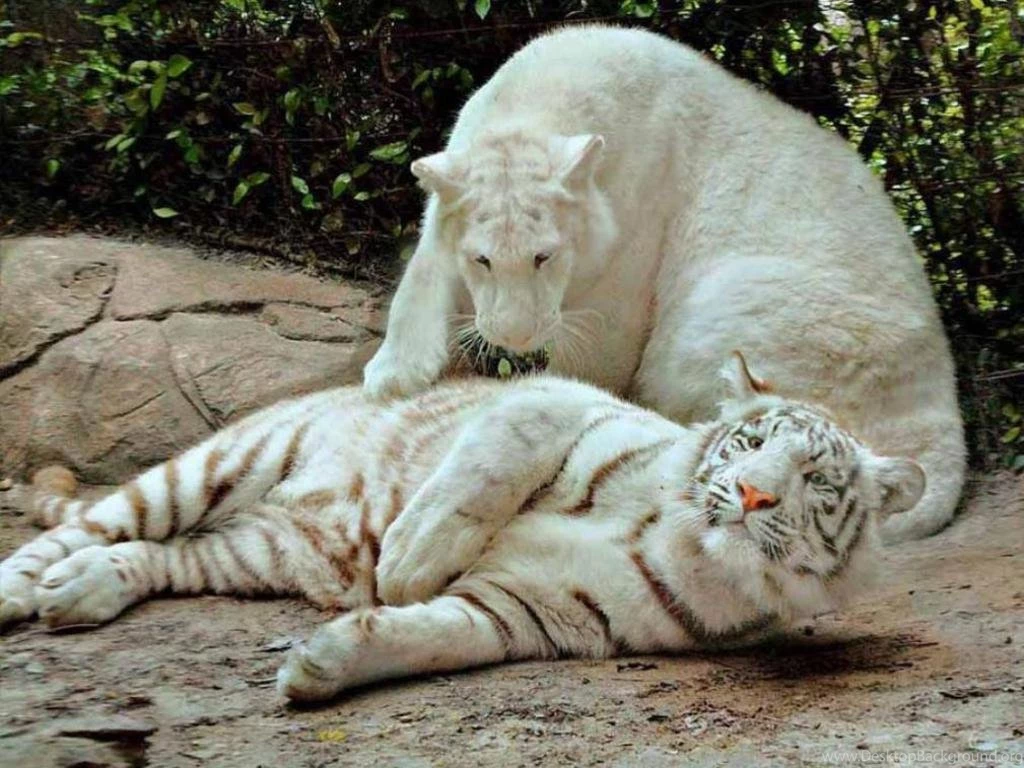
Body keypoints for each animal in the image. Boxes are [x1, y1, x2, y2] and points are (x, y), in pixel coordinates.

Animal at [0, 353, 924, 701]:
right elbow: (490, 461)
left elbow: (437, 634)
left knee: (156, 557)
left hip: (252, 551)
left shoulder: (535, 612)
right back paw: (23, 588)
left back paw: (80, 594)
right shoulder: (558, 398)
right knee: (91, 526)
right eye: (753, 442)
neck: (685, 544)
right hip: (214, 466)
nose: (756, 494)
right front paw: (409, 557)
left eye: (817, 480)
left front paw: (321, 666)